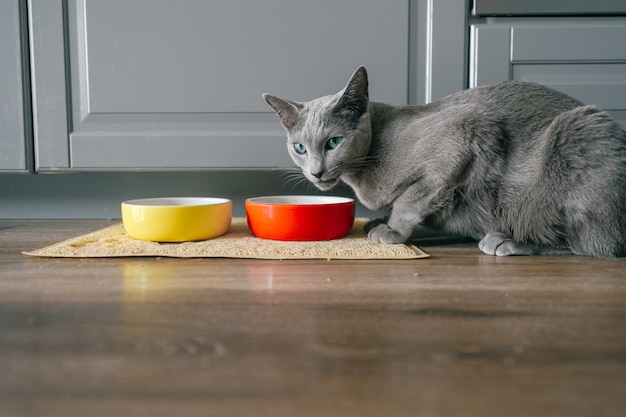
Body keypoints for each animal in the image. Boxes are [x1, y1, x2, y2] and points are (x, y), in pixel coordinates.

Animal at [262, 66, 624, 256]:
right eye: (299, 148)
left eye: (334, 142)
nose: (316, 172)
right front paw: (378, 222)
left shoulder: (464, 133)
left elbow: (411, 199)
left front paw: (391, 231)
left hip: (574, 136)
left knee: (592, 243)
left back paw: (508, 240)